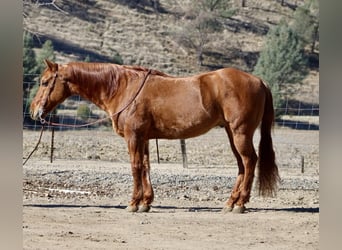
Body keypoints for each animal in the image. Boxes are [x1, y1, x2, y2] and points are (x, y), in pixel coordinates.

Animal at [30, 59, 280, 214]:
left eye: (44, 82)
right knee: (241, 166)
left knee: (250, 162)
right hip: (231, 134)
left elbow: (135, 167)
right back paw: (230, 202)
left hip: (240, 133)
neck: (123, 88)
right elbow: (146, 167)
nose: (34, 111)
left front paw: (133, 203)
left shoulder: (133, 137)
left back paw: (240, 204)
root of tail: (259, 81)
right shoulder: (144, 138)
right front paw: (146, 202)